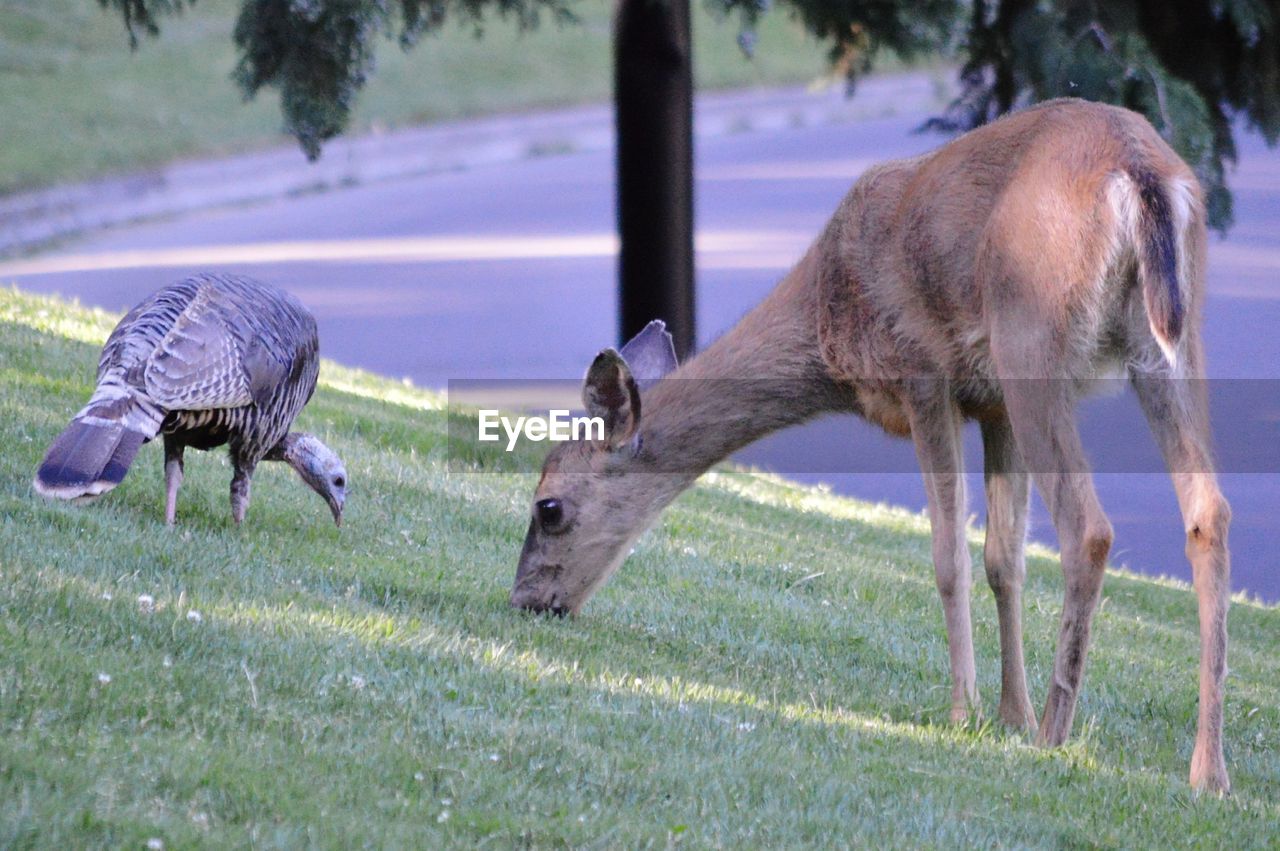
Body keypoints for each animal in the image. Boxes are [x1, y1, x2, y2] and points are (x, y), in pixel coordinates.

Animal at [506, 101, 1228, 798]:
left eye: (549, 507)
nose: (524, 600)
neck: (827, 320)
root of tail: (1144, 174)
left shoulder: (924, 372)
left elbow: (949, 556)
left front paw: (968, 713)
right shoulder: (992, 402)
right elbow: (1004, 559)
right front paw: (1010, 715)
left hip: (1032, 333)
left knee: (1090, 528)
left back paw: (1057, 736)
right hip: (1169, 341)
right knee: (1208, 511)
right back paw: (1207, 770)